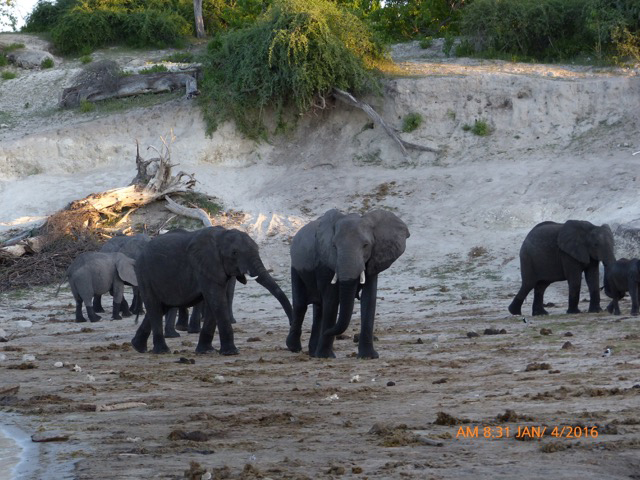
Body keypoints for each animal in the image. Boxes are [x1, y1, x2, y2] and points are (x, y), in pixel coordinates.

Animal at [131, 225, 294, 352]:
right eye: (235, 253)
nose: (291, 325)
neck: (221, 236)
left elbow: (214, 302)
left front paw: (207, 351)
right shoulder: (205, 265)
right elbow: (216, 299)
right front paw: (231, 352)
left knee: (160, 307)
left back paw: (137, 347)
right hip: (144, 273)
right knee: (154, 306)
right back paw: (162, 351)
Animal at [286, 208, 410, 358]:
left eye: (366, 245)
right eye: (334, 246)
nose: (328, 331)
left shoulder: (373, 260)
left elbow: (369, 299)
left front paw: (368, 356)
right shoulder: (325, 261)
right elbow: (331, 300)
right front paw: (326, 356)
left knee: (319, 309)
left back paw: (313, 352)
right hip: (295, 267)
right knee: (301, 305)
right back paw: (294, 348)